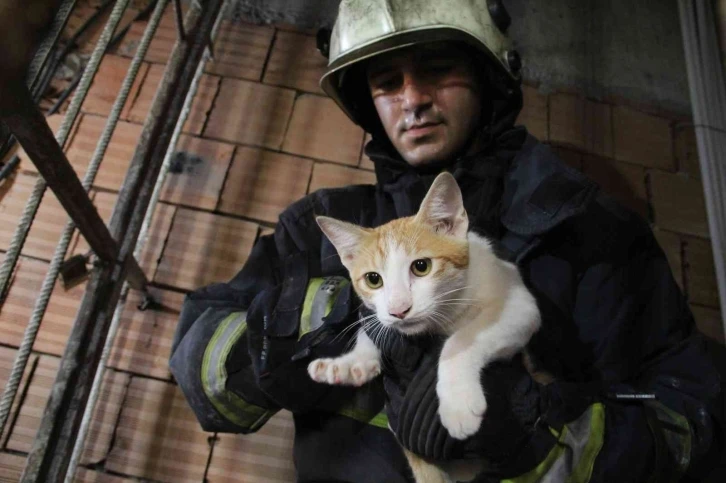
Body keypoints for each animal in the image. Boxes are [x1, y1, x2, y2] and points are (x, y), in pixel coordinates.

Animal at [308, 172, 540, 482]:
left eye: (421, 266)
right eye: (373, 279)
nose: (399, 310)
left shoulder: (521, 305)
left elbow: (461, 339)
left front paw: (458, 401)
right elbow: (375, 327)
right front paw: (351, 364)